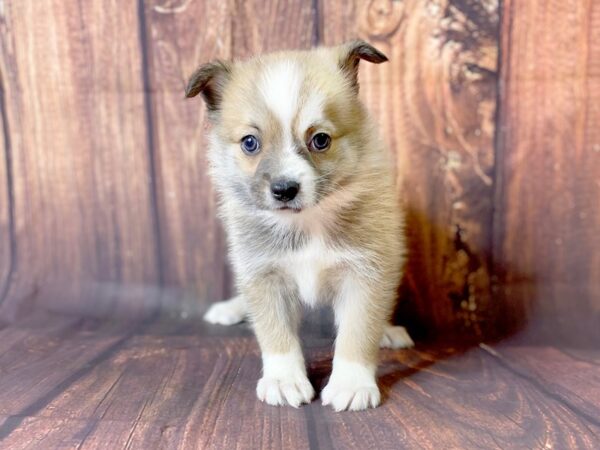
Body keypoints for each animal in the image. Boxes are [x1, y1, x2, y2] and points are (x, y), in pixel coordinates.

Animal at [188, 40, 412, 410]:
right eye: (250, 143)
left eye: (320, 140)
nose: (283, 189)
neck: (309, 221)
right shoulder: (263, 274)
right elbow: (275, 334)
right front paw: (283, 381)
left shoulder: (366, 272)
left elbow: (358, 332)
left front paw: (351, 384)